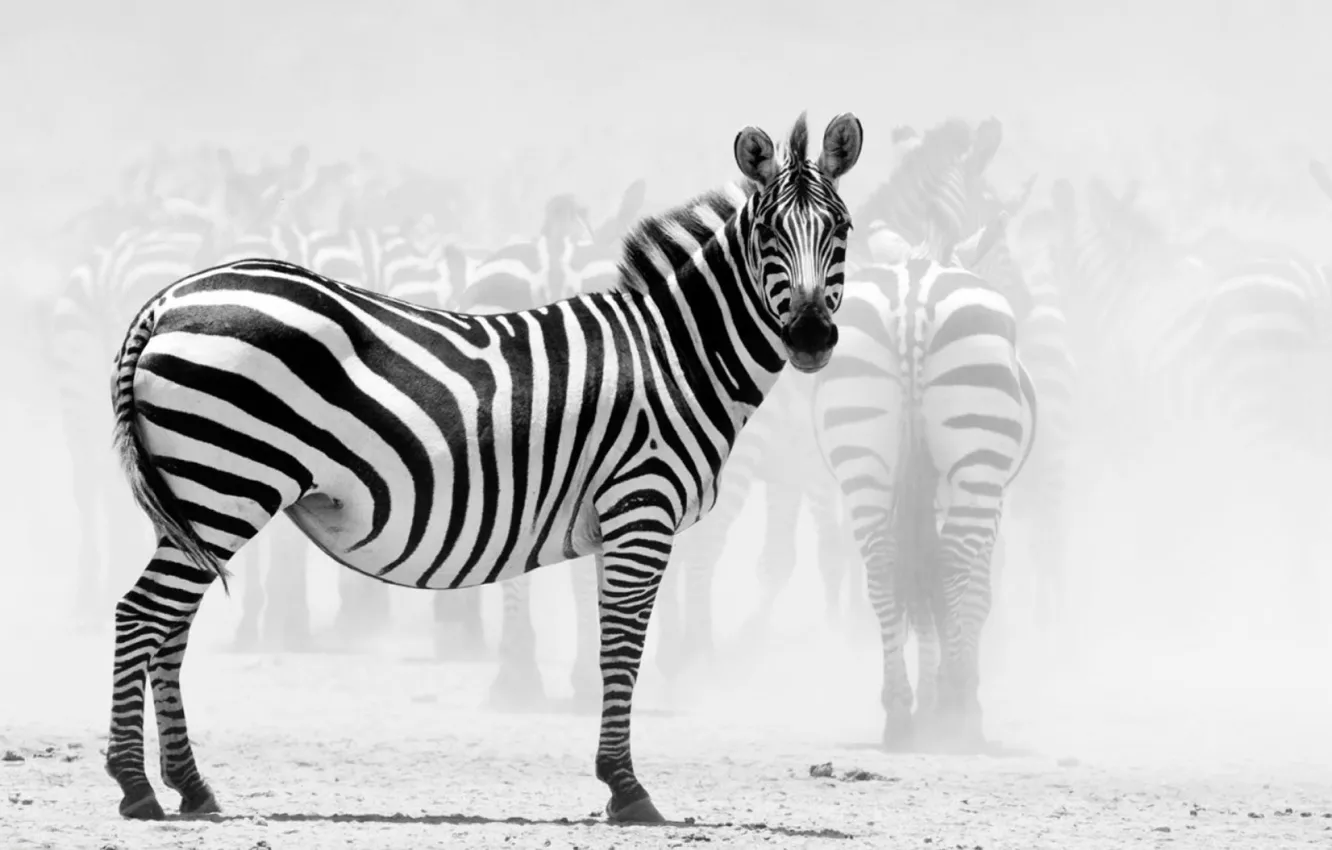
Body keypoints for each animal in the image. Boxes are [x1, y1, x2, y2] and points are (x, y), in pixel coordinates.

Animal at [102, 111, 863, 823]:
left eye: (843, 229)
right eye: (767, 234)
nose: (811, 338)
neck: (674, 354)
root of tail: (167, 301)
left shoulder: (614, 521)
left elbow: (609, 640)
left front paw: (615, 776)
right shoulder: (641, 507)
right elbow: (623, 647)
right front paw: (626, 788)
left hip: (198, 497)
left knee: (170, 625)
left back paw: (191, 786)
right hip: (225, 483)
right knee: (140, 613)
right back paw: (135, 786)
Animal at [812, 223, 1037, 752]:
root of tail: (913, 293)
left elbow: (919, 592)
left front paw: (927, 700)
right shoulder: (991, 501)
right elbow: (976, 594)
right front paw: (950, 698)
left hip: (862, 454)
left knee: (883, 568)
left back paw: (899, 712)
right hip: (977, 457)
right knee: (951, 567)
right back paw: (959, 710)